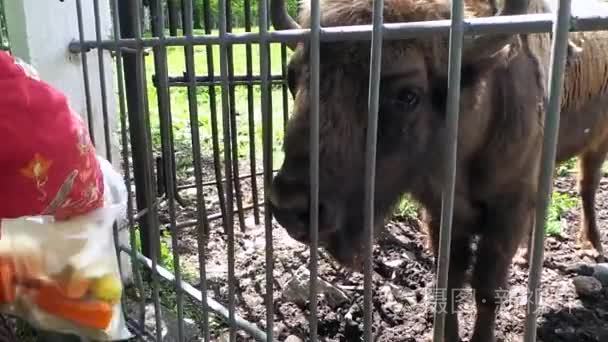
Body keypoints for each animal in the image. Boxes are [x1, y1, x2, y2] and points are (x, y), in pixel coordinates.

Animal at [268, 0, 548, 340]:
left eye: (408, 95)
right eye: (292, 78)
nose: (289, 208)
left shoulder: (510, 208)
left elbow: (486, 287)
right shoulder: (441, 214)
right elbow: (449, 278)